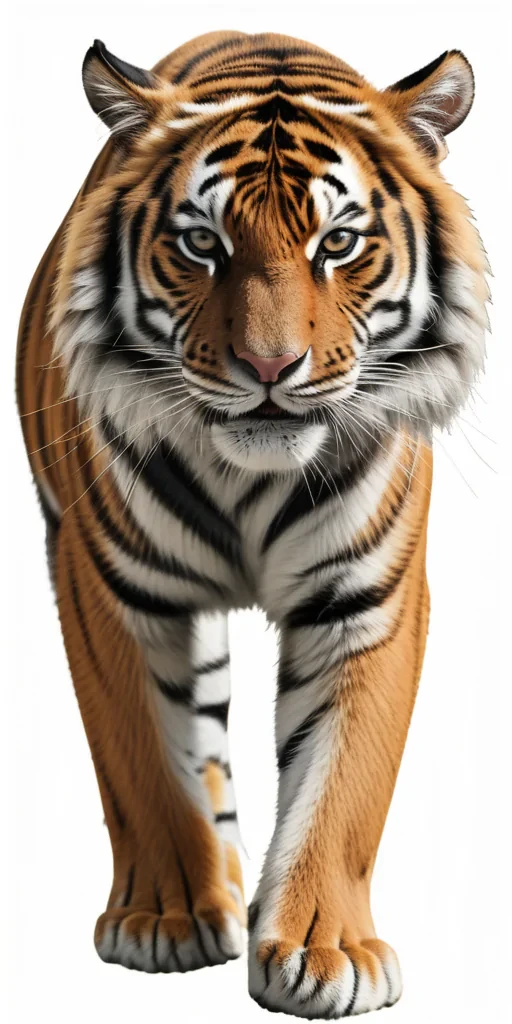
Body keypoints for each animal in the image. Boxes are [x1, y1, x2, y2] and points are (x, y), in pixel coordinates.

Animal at [16, 30, 489, 1018]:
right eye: (203, 243)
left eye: (338, 243)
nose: (270, 367)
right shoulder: (109, 588)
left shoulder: (367, 600)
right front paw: (164, 919)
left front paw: (324, 949)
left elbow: (343, 785)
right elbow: (145, 762)